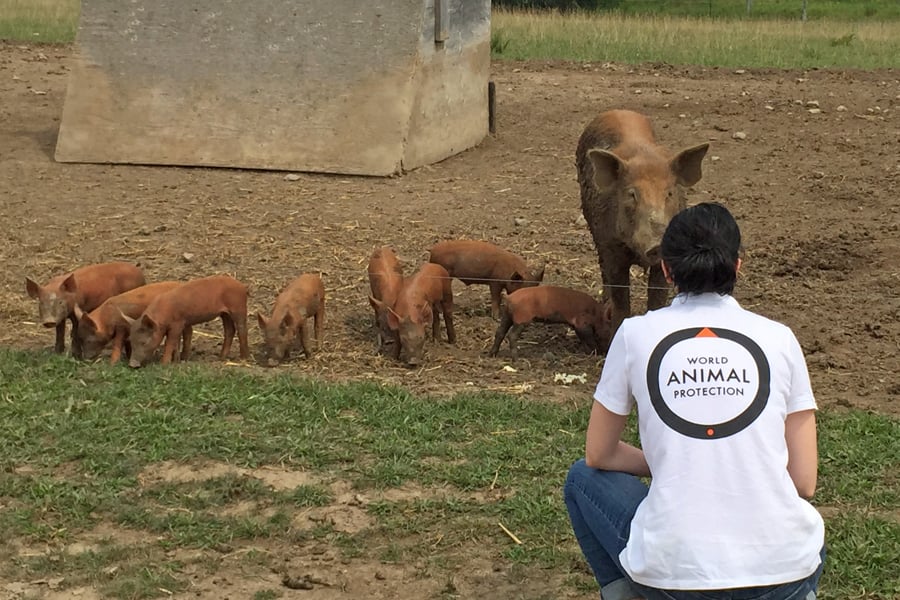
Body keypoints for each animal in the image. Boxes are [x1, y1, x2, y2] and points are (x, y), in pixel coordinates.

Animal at [121, 276, 250, 368]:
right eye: (130, 340)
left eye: (143, 342)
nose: (132, 365)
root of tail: (242, 286)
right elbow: (180, 340)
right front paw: (179, 360)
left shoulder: (177, 324)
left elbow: (170, 342)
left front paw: (164, 363)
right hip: (224, 314)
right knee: (230, 330)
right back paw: (221, 357)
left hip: (238, 307)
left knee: (242, 329)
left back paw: (243, 358)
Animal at [576, 111, 712, 338]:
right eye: (632, 194)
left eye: (669, 193)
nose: (657, 243)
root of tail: (618, 110)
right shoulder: (612, 248)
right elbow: (621, 301)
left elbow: (657, 300)